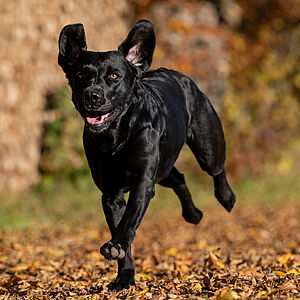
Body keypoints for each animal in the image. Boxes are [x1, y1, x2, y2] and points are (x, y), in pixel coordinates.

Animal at [58, 19, 237, 290]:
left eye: (114, 75)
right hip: (163, 170)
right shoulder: (111, 193)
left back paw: (226, 198)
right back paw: (193, 214)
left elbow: (129, 220)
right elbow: (121, 228)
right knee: (179, 179)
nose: (93, 95)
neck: (116, 137)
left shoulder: (143, 181)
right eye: (81, 76)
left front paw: (116, 247)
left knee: (216, 169)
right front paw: (124, 277)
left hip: (207, 144)